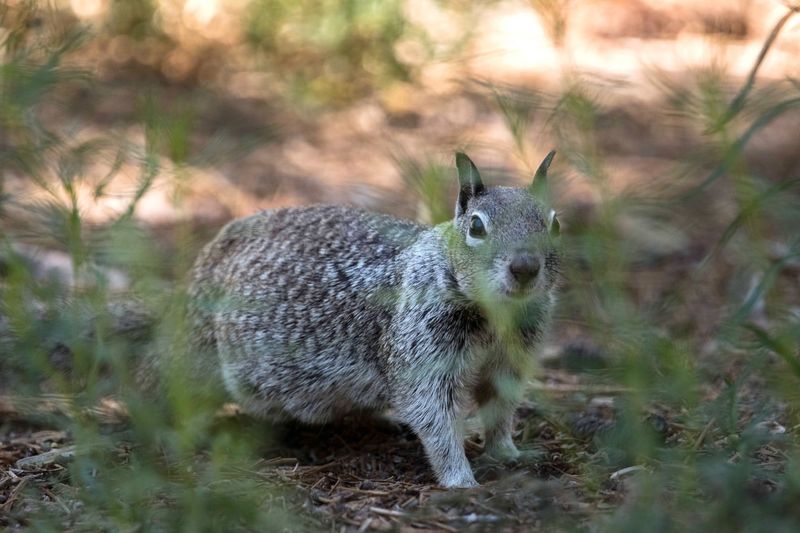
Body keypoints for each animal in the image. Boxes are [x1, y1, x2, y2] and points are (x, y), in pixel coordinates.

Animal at [188, 151, 564, 486]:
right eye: (476, 226)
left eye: (555, 223)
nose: (525, 267)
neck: (495, 314)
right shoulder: (423, 355)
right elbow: (436, 420)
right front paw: (461, 480)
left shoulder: (510, 361)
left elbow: (500, 410)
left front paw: (509, 453)